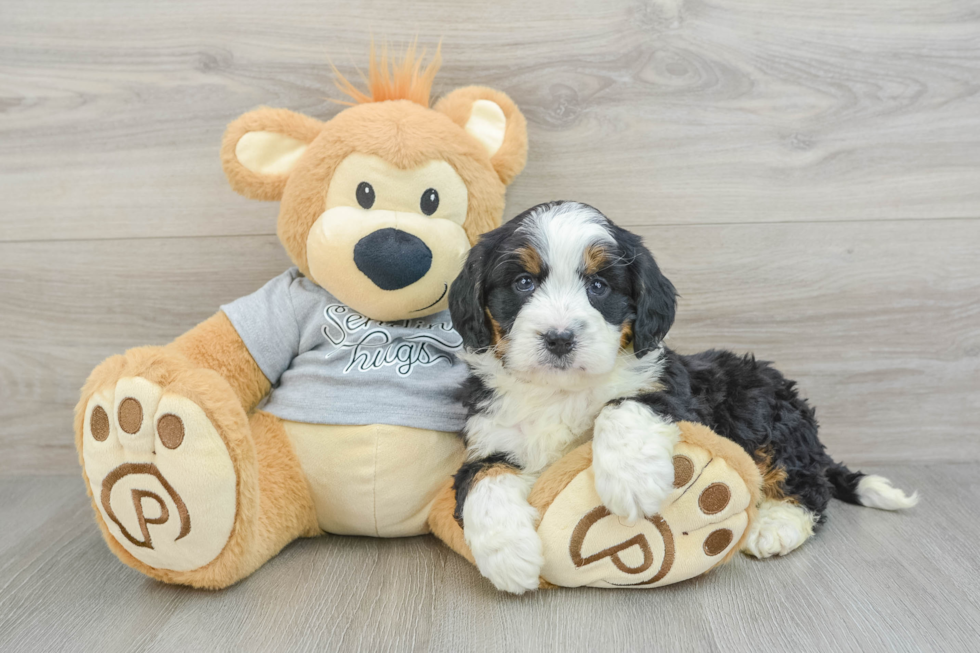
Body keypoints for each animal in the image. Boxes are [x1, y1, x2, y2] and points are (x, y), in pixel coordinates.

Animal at [446, 201, 920, 592]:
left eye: (598, 286)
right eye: (523, 282)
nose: (559, 338)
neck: (560, 391)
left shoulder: (674, 394)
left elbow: (624, 405)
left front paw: (632, 481)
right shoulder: (490, 436)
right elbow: (483, 478)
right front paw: (507, 556)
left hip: (761, 406)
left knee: (809, 484)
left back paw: (776, 524)